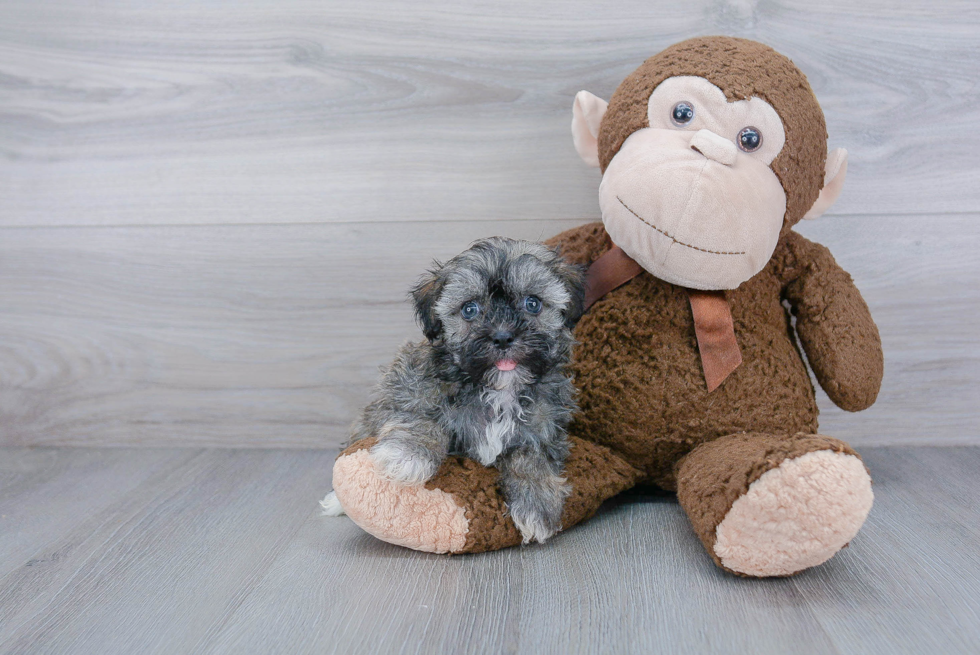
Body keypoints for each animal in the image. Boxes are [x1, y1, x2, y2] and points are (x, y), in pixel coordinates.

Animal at [326, 238, 584, 544]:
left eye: (532, 303)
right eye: (469, 309)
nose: (502, 336)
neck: (498, 389)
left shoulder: (545, 429)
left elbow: (531, 455)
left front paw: (536, 502)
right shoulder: (407, 386)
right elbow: (424, 415)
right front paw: (408, 455)